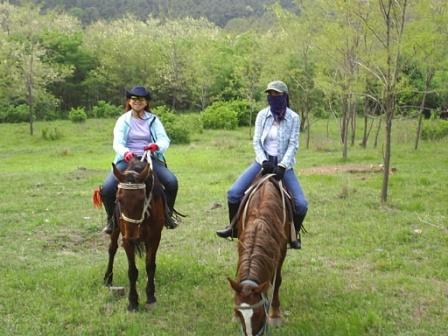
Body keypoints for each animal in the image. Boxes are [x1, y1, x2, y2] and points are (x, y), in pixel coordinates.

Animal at [102, 156, 167, 312]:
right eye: (118, 199)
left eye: (142, 199)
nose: (132, 236)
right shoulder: (126, 240)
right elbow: (132, 271)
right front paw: (132, 302)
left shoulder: (155, 237)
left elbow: (150, 265)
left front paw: (150, 296)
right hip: (116, 229)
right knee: (112, 249)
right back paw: (108, 278)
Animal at [226, 175, 292, 334]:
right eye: (239, 313)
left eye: (260, 313)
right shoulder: (241, 242)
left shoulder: (281, 250)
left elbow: (277, 280)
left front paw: (275, 315)